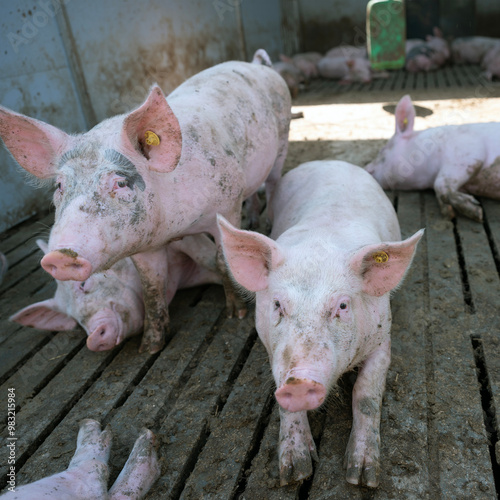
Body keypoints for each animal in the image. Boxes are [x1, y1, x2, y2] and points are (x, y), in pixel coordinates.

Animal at [217, 161, 424, 488]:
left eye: (342, 305)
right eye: (278, 304)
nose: (300, 382)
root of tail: (330, 162)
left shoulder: (383, 340)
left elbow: (366, 395)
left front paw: (361, 477)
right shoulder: (272, 348)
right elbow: (283, 403)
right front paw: (294, 473)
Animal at [364, 94, 500, 220]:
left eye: (382, 151)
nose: (366, 168)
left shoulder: (468, 151)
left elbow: (439, 183)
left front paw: (477, 212)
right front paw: (449, 213)